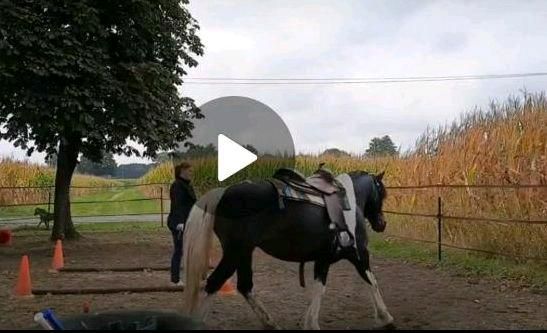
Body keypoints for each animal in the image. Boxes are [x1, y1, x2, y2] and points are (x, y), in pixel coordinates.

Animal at [183, 170, 394, 328]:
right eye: (382, 193)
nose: (382, 223)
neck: (349, 201)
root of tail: (223, 192)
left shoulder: (323, 259)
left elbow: (319, 289)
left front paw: (309, 322)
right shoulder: (359, 254)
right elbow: (371, 281)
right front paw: (386, 317)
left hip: (244, 252)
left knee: (245, 285)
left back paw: (270, 322)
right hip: (235, 252)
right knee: (215, 282)